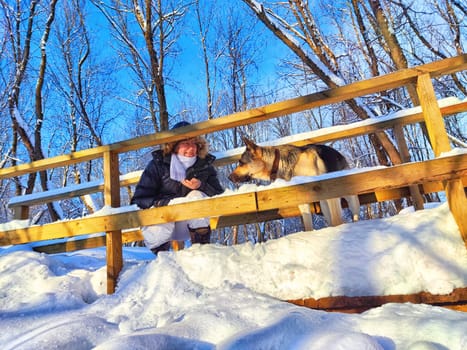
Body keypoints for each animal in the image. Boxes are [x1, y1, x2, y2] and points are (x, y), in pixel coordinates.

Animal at [229, 138, 360, 231]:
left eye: (241, 163)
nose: (228, 177)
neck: (278, 162)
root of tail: (340, 154)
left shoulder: (330, 196)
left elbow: (338, 220)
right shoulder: (303, 203)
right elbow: (308, 227)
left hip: (346, 198)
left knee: (352, 213)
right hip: (324, 205)